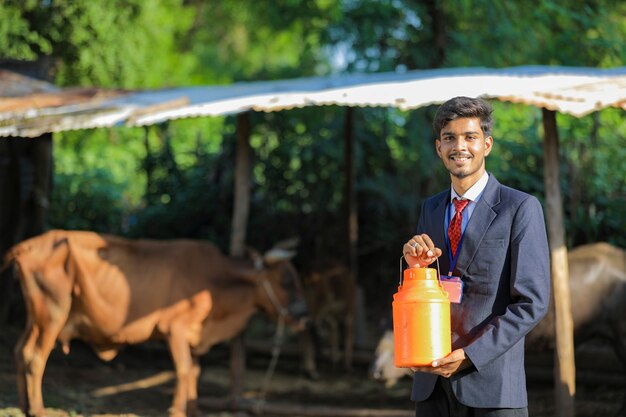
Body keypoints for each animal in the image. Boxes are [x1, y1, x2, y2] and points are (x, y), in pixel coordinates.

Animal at [4, 231, 308, 416]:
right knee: (34, 357)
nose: (304, 316)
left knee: (19, 352)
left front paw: (195, 410)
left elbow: (195, 371)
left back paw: (23, 406)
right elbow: (184, 370)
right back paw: (38, 409)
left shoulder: (194, 335)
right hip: (53, 313)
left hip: (35, 319)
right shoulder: (175, 328)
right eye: (285, 280)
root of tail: (27, 245)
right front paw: (177, 410)